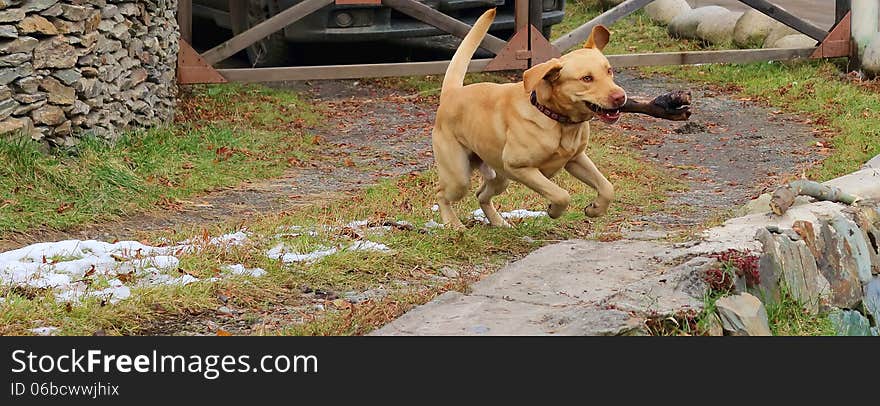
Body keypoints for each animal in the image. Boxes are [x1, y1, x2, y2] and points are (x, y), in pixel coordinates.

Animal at [434, 8, 632, 228]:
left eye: (609, 71)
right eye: (586, 78)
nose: (620, 96)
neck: (556, 119)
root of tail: (451, 92)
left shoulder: (576, 159)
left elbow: (607, 187)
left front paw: (595, 209)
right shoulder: (520, 168)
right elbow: (561, 194)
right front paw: (553, 210)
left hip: (499, 177)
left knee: (481, 195)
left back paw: (499, 222)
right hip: (459, 177)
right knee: (442, 193)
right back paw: (453, 224)